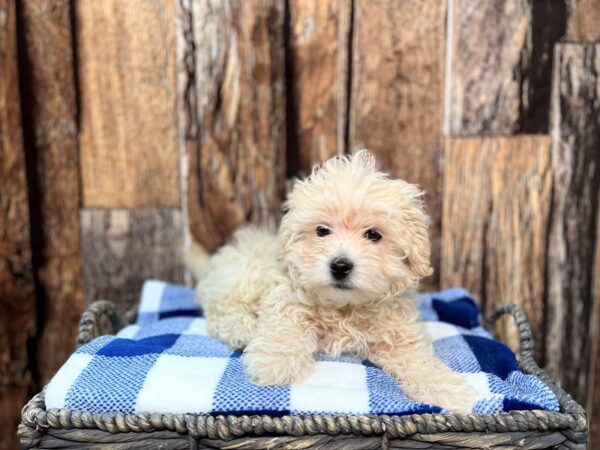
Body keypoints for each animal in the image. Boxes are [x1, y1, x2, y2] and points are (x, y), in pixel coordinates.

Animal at [190, 150, 480, 412]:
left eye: (373, 235)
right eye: (322, 231)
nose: (340, 266)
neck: (345, 307)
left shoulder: (398, 335)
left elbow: (419, 360)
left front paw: (448, 390)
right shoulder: (286, 296)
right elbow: (286, 325)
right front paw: (275, 362)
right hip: (242, 278)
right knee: (220, 311)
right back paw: (243, 327)